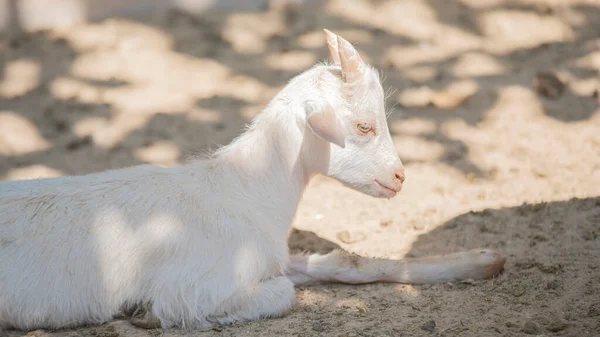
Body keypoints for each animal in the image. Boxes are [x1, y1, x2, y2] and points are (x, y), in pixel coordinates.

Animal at [0, 30, 506, 330]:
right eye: (364, 125)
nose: (400, 176)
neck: (243, 191)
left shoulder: (271, 256)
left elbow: (346, 262)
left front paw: (483, 260)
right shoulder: (192, 290)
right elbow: (282, 294)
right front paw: (143, 314)